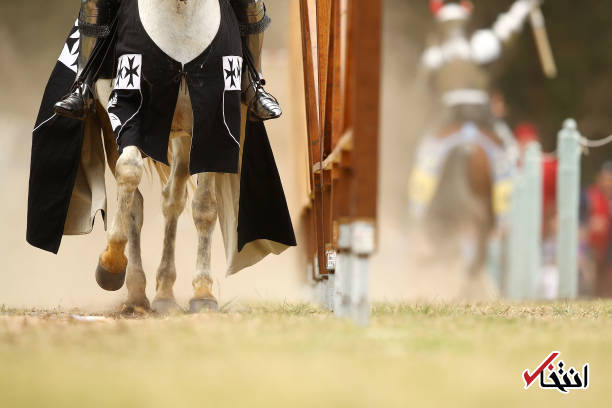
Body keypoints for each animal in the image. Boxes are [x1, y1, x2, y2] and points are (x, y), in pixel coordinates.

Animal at [96, 0, 227, 314]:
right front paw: (111, 264)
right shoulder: (128, 113)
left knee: (173, 201)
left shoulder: (209, 127)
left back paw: (165, 294)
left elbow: (204, 207)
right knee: (136, 201)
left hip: (183, 138)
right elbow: (128, 172)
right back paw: (135, 293)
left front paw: (203, 293)